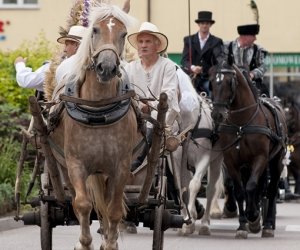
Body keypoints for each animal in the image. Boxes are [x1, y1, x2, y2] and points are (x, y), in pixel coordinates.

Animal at [210, 61, 288, 238]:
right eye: (212, 82)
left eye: (229, 82)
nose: (217, 115)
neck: (241, 124)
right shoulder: (231, 160)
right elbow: (239, 190)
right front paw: (242, 225)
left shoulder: (260, 158)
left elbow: (252, 186)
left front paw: (253, 216)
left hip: (277, 161)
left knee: (271, 189)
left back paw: (268, 224)